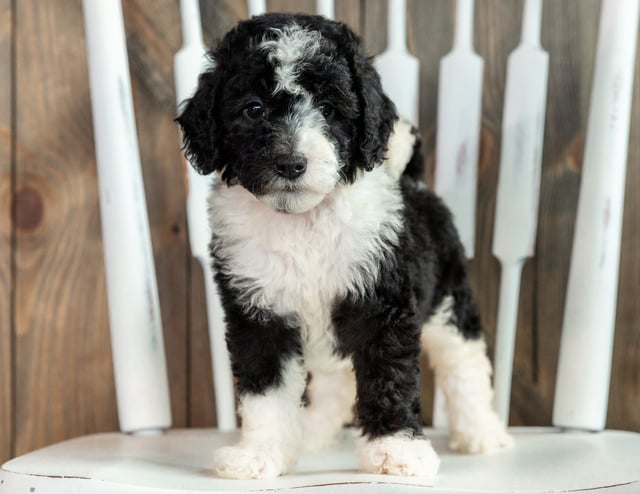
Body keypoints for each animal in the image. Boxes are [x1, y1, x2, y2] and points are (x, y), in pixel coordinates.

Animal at [178, 13, 512, 480]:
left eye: (328, 109)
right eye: (254, 109)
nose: (290, 164)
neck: (303, 221)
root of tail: (412, 181)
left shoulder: (381, 304)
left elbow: (389, 377)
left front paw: (395, 450)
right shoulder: (258, 315)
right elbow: (265, 392)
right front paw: (260, 453)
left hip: (449, 300)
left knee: (464, 364)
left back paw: (481, 432)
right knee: (336, 382)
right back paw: (312, 433)